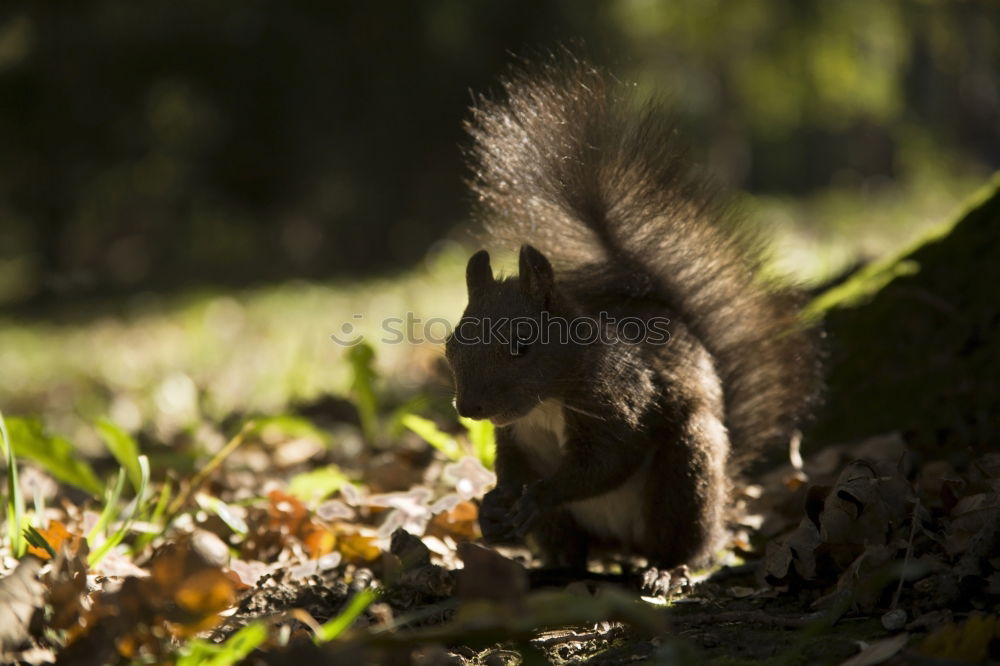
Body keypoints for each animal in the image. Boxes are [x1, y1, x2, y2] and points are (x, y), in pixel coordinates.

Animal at [446, 55, 820, 576]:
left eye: (522, 345)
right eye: (450, 346)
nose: (469, 409)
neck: (546, 401)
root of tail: (622, 545)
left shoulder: (622, 402)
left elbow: (606, 461)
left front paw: (540, 495)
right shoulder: (516, 436)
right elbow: (509, 469)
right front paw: (493, 505)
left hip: (686, 469)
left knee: (687, 544)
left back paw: (664, 570)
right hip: (575, 527)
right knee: (573, 550)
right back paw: (554, 570)